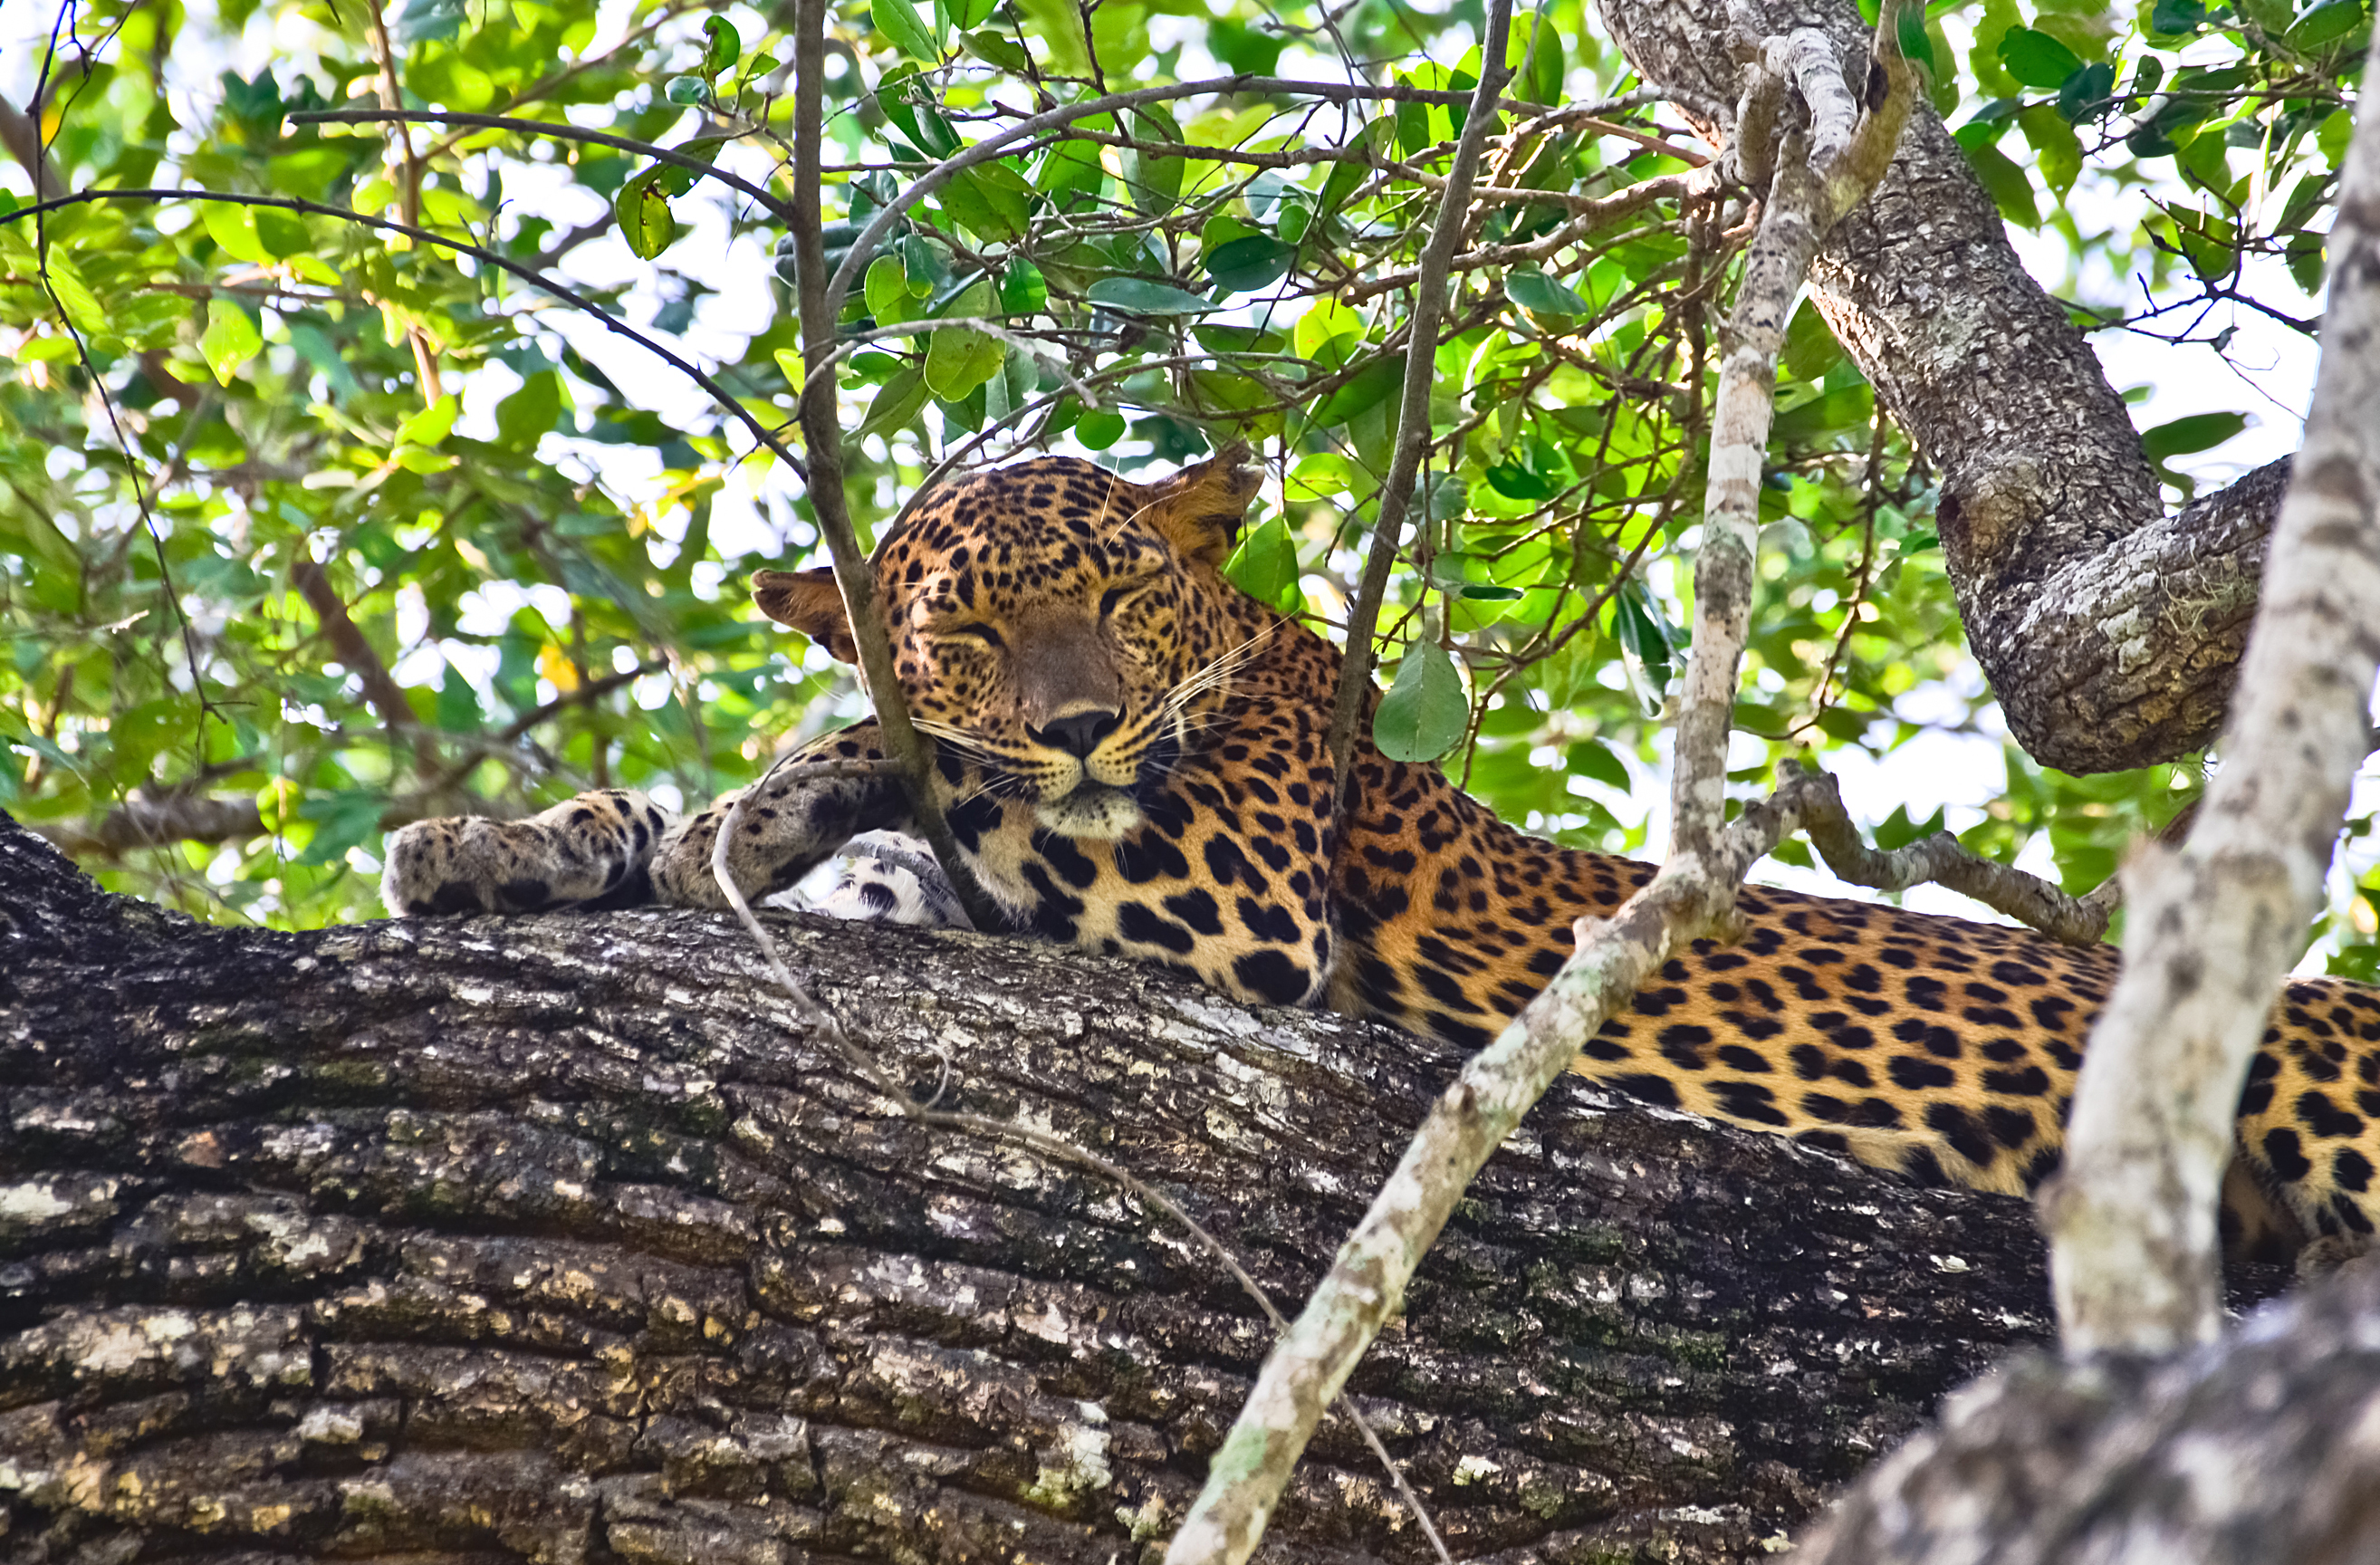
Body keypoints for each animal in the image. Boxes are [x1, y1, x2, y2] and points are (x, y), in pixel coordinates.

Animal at [383, 447, 2380, 1264]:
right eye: (965, 627)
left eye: (1117, 597)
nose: (1079, 722)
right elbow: (764, 831)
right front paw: (499, 845)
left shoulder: (1236, 901)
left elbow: (918, 775)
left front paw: (798, 778)